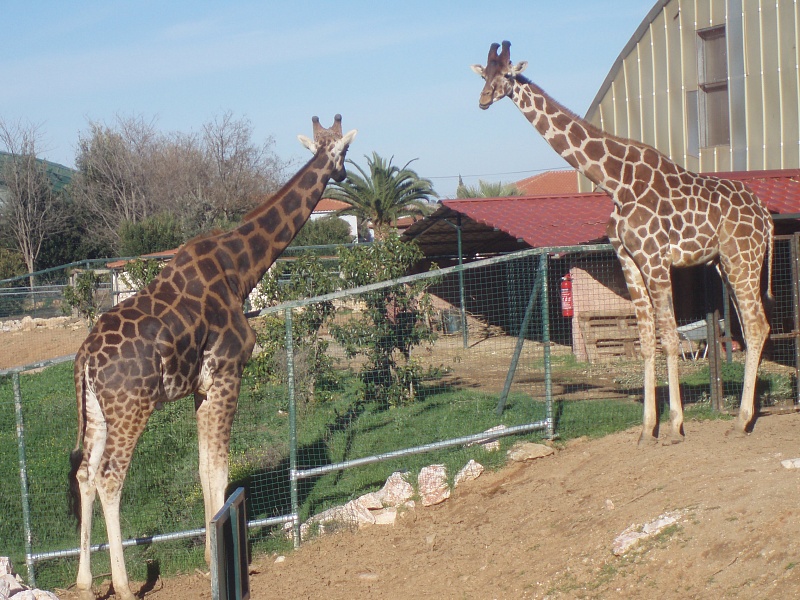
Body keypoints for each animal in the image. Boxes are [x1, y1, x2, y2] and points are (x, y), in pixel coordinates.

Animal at [69, 115, 356, 596]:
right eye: (342, 152)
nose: (345, 176)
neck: (239, 269)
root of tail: (85, 360)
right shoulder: (228, 372)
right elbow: (220, 469)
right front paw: (223, 559)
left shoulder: (201, 388)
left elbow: (204, 468)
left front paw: (210, 554)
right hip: (131, 408)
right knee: (110, 478)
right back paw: (125, 585)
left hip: (96, 411)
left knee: (85, 475)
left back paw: (87, 582)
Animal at [472, 41, 772, 446]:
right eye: (483, 75)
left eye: (506, 74)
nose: (484, 99)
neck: (615, 181)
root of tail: (765, 217)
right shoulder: (628, 259)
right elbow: (646, 338)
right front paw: (647, 430)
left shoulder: (655, 258)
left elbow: (670, 337)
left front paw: (675, 425)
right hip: (726, 262)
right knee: (751, 325)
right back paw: (743, 416)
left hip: (743, 257)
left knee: (756, 325)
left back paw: (741, 421)